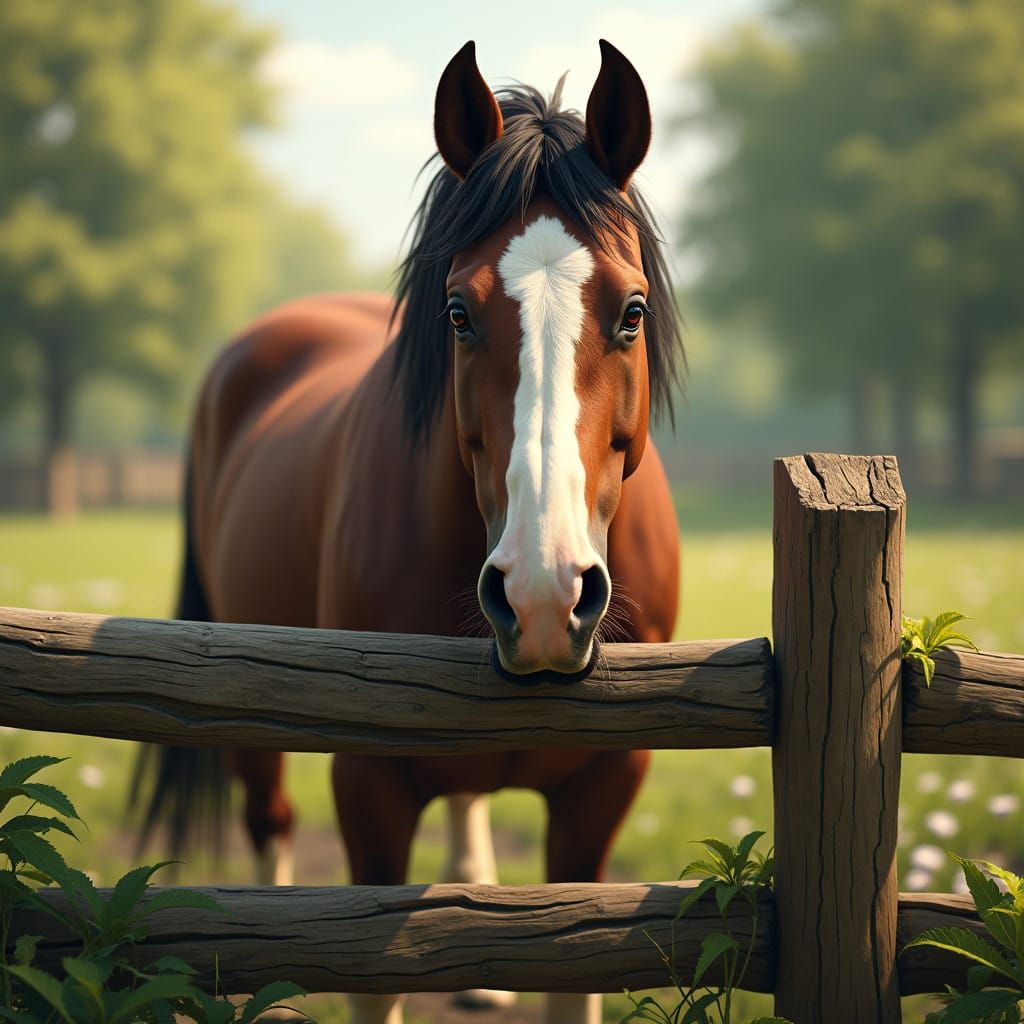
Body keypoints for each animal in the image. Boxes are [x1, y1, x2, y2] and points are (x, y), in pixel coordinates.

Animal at [135, 39, 682, 1024]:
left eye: (632, 312)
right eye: (458, 312)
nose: (543, 594)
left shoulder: (607, 783)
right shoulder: (370, 785)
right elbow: (372, 971)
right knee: (270, 827)